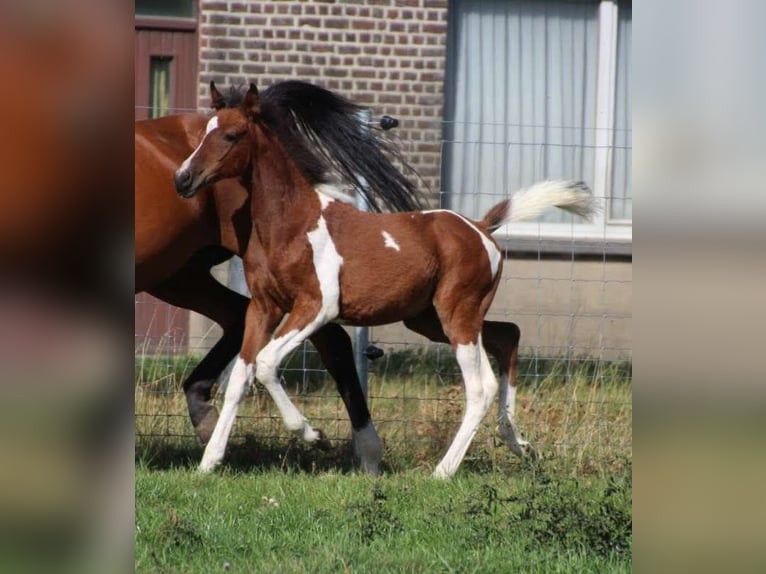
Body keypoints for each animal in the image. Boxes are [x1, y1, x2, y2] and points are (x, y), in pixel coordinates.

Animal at [173, 83, 598, 479]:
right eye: (204, 131)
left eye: (231, 135)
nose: (183, 179)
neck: (292, 224)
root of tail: (480, 228)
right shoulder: (264, 307)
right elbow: (241, 375)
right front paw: (209, 461)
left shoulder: (317, 306)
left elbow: (264, 364)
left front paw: (314, 436)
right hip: (429, 319)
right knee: (508, 336)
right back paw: (518, 442)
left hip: (457, 314)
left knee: (481, 387)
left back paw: (443, 471)